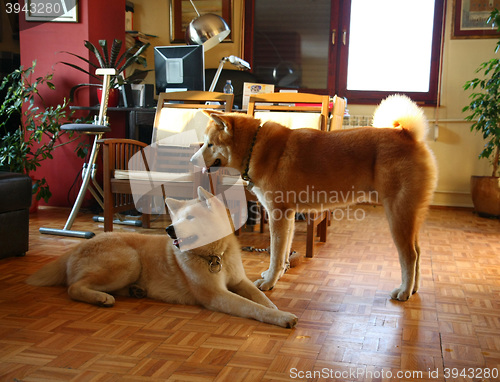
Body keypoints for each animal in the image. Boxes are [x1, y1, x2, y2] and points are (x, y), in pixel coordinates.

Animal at [26, 188, 296, 328]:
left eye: (190, 218)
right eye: (176, 219)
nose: (169, 230)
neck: (213, 255)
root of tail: (73, 250)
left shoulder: (240, 281)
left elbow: (261, 298)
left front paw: (276, 308)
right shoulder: (217, 295)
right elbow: (253, 308)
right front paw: (282, 317)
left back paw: (134, 291)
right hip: (130, 260)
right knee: (74, 287)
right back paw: (101, 297)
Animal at [191, 95, 438, 302]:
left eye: (210, 144)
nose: (192, 160)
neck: (255, 147)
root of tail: (407, 134)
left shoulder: (277, 214)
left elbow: (275, 254)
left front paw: (269, 282)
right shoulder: (287, 216)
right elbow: (283, 253)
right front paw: (277, 274)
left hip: (397, 216)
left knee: (409, 256)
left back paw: (404, 291)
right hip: (410, 216)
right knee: (418, 253)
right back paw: (413, 289)